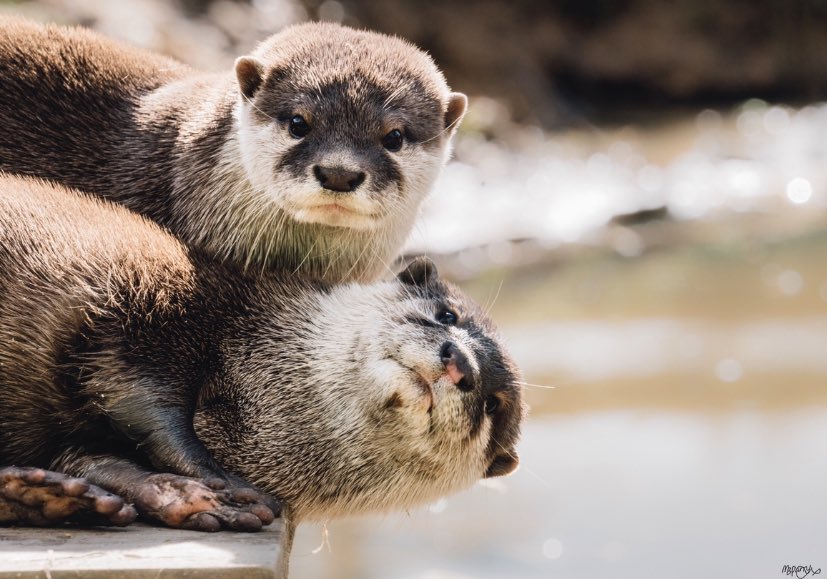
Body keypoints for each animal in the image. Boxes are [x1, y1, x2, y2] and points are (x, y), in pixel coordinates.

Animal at [0, 175, 523, 532]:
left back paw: (46, 496)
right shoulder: (145, 308)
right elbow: (141, 395)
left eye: (493, 404)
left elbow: (90, 454)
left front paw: (174, 494)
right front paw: (218, 482)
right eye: (447, 314)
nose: (460, 364)